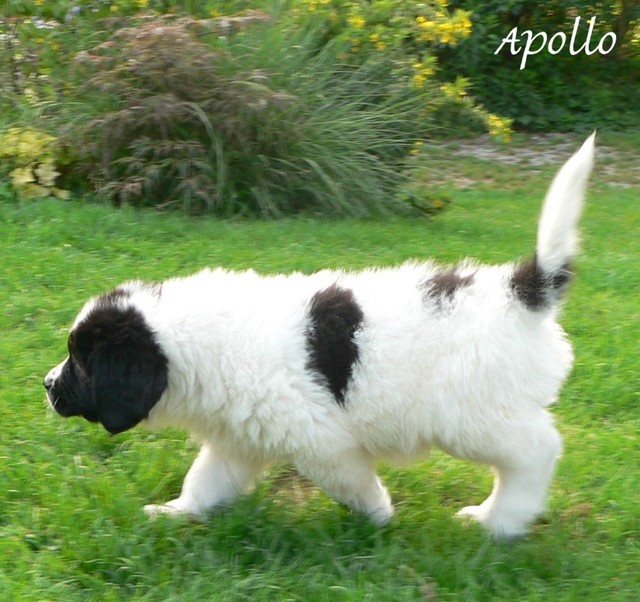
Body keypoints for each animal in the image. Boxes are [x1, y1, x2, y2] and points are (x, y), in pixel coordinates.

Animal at [44, 134, 595, 537]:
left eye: (82, 363)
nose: (47, 384)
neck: (191, 345)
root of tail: (519, 291)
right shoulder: (239, 438)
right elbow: (206, 480)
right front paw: (176, 512)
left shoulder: (320, 441)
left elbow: (351, 481)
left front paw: (378, 517)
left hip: (470, 414)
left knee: (537, 449)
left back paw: (499, 520)